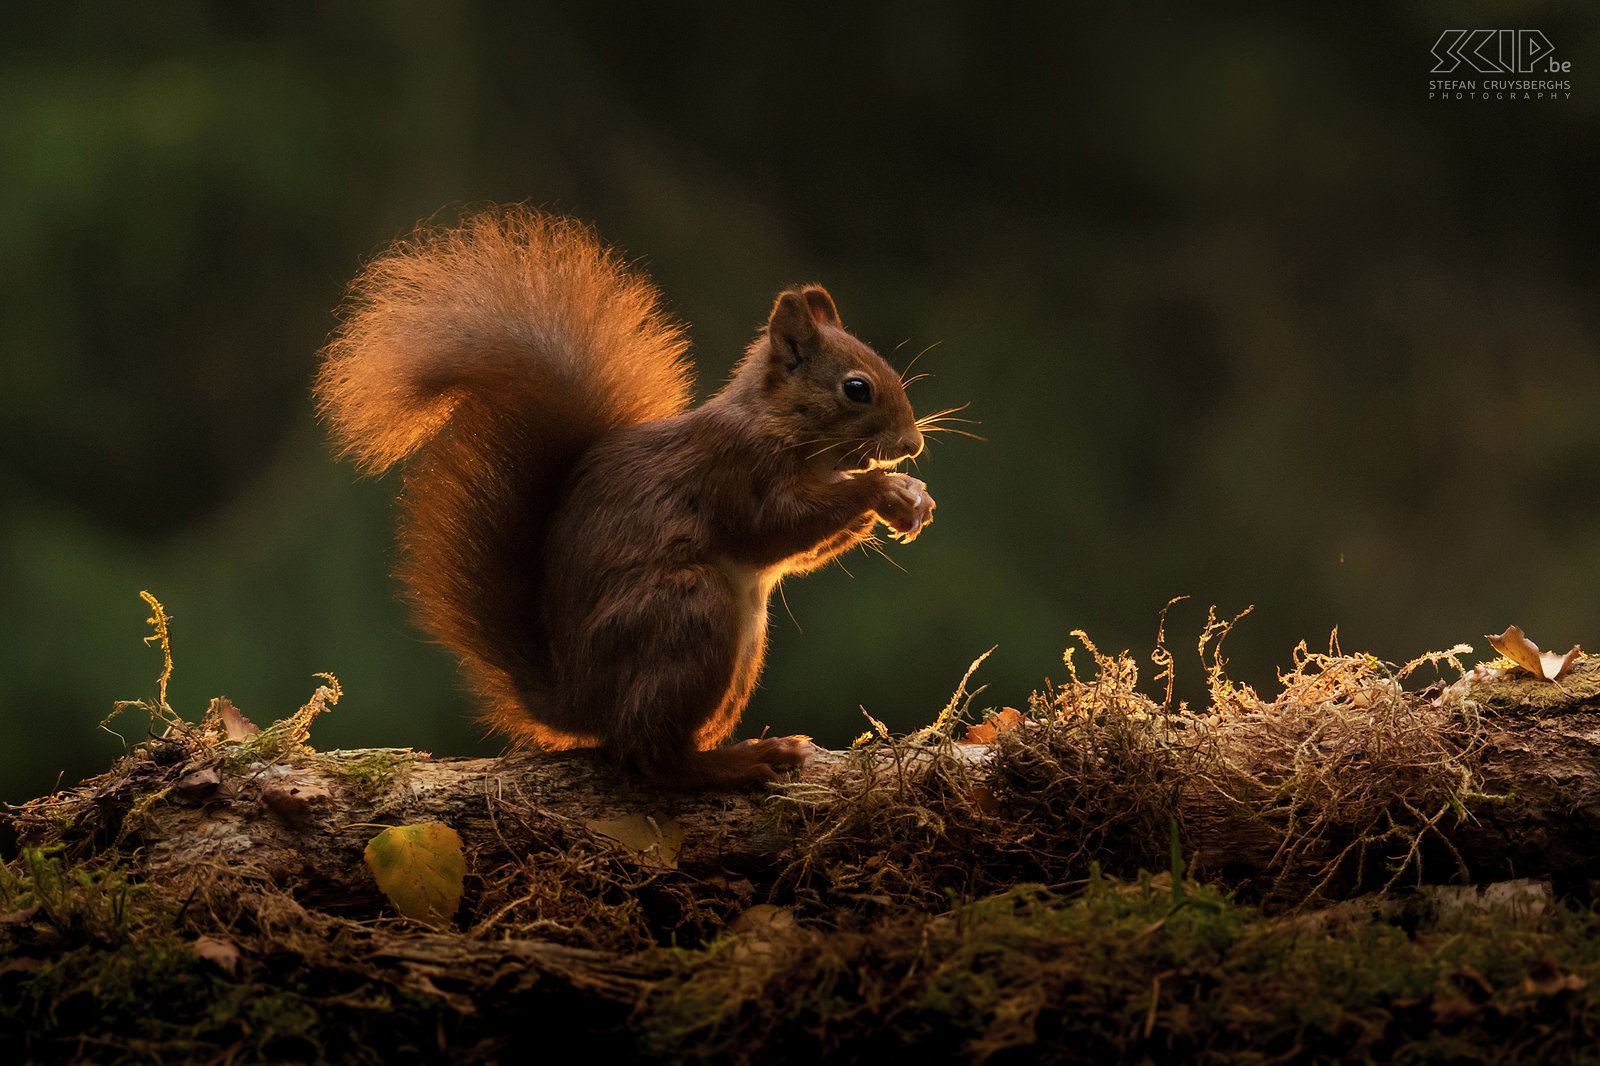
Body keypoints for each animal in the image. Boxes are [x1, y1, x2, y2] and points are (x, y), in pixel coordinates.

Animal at [312, 209, 934, 787]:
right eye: (856, 389)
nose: (913, 444)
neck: (779, 424)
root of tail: (577, 704)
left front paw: (911, 498)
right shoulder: (732, 470)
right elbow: (774, 529)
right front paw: (880, 488)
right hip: (687, 612)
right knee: (653, 756)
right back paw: (741, 761)